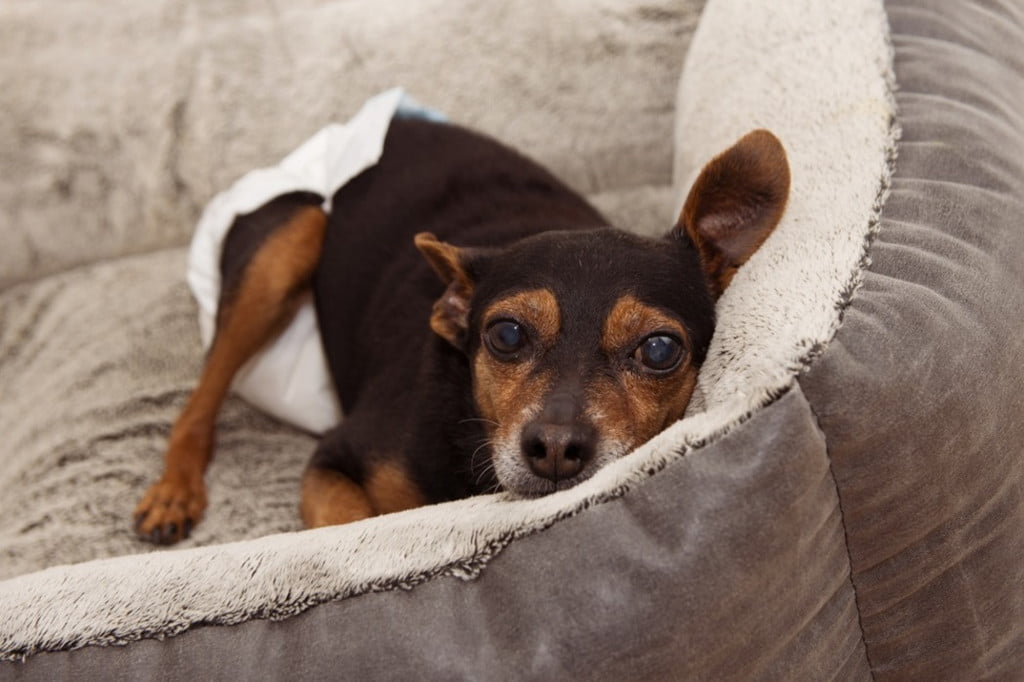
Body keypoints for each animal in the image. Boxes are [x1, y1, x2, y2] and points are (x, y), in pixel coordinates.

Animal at [134, 115, 790, 540]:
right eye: (506, 336)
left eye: (658, 350)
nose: (556, 448)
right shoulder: (334, 460)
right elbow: (356, 530)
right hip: (287, 241)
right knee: (200, 399)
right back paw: (173, 493)